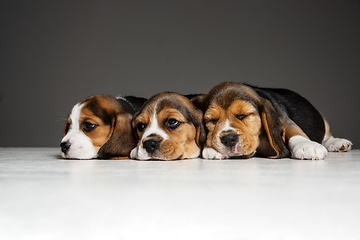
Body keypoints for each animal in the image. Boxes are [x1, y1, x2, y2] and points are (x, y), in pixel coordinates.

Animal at [193, 81, 352, 160]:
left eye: (244, 115)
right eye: (213, 120)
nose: (228, 139)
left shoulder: (282, 118)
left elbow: (294, 131)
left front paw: (306, 145)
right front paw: (211, 149)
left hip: (323, 121)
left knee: (327, 136)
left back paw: (338, 143)